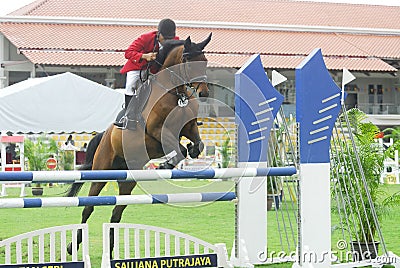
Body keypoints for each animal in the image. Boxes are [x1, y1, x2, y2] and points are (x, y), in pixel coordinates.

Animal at [66, 34, 212, 254]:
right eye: (188, 61)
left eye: (205, 61)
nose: (203, 92)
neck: (175, 93)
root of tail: (105, 135)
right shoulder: (157, 131)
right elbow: (178, 148)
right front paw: (166, 164)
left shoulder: (189, 127)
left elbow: (196, 143)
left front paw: (192, 151)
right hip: (101, 171)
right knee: (88, 207)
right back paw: (72, 246)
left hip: (127, 181)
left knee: (116, 213)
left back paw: (110, 250)